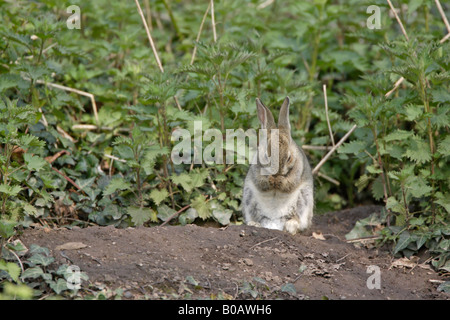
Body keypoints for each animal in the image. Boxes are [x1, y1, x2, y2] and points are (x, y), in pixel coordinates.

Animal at [243, 97, 312, 235]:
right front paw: (271, 180)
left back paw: (290, 226)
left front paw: (279, 181)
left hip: (304, 200)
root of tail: (274, 223)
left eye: (289, 158)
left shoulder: (297, 172)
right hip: (249, 198)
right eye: (266, 155)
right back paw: (255, 224)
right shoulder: (256, 172)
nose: (276, 172)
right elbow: (262, 182)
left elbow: (289, 184)